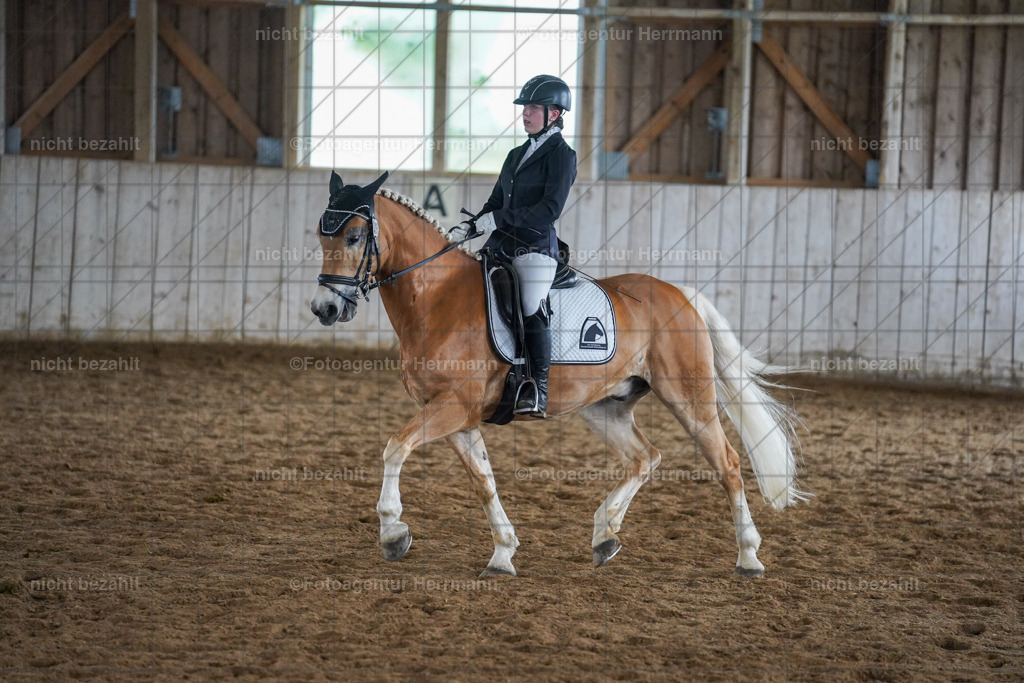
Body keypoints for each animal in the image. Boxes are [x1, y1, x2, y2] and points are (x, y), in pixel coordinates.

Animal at [309, 171, 808, 578]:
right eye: (321, 236)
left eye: (355, 236)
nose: (324, 309)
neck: (437, 299)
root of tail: (681, 294)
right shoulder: (457, 417)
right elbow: (484, 482)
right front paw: (502, 553)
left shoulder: (452, 407)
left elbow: (395, 447)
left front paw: (393, 531)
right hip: (604, 406)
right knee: (645, 457)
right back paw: (605, 534)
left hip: (690, 398)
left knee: (727, 463)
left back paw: (748, 557)